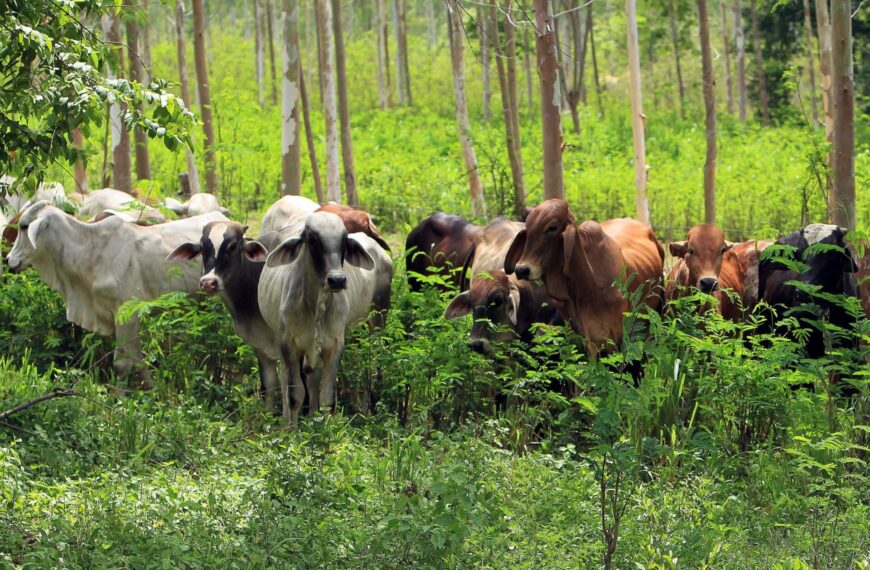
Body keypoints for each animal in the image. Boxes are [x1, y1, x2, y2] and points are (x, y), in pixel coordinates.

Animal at [5, 201, 228, 382]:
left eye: (24, 226)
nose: (8, 260)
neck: (90, 250)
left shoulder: (127, 314)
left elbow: (123, 364)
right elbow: (136, 360)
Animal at [500, 197, 664, 352]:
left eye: (552, 227)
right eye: (528, 227)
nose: (521, 270)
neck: (587, 285)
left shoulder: (617, 335)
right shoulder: (587, 338)